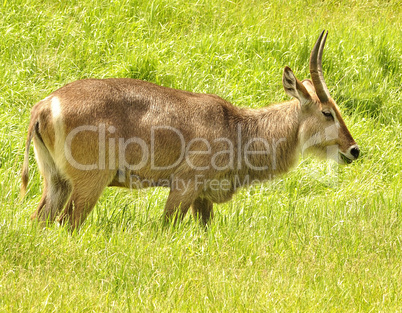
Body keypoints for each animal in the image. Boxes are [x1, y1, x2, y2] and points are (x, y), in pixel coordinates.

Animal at [22, 30, 360, 228]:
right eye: (328, 112)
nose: (354, 150)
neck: (238, 127)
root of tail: (45, 104)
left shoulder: (203, 197)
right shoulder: (184, 186)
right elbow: (166, 227)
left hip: (56, 181)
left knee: (41, 219)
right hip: (89, 183)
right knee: (67, 222)